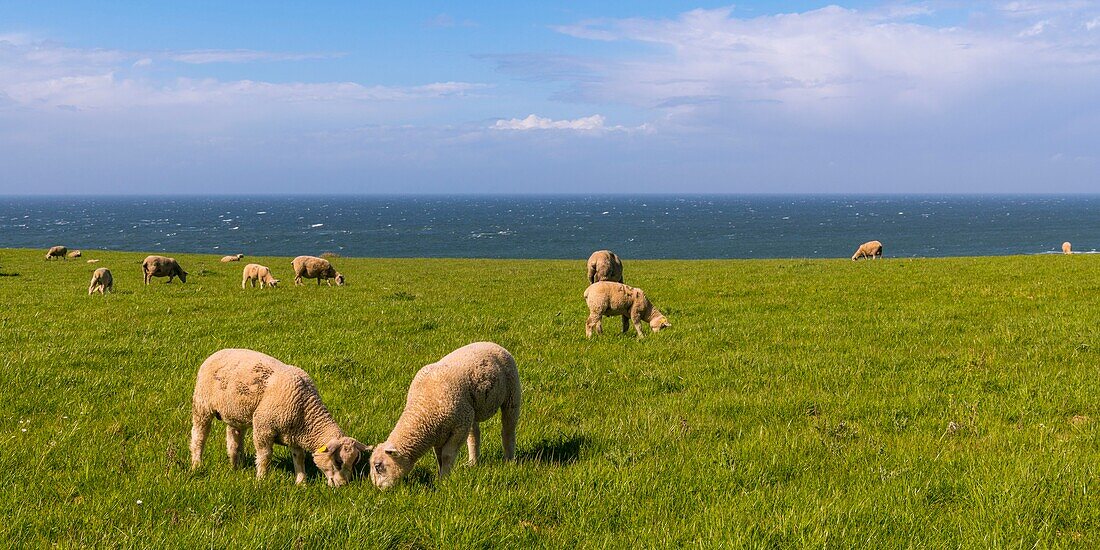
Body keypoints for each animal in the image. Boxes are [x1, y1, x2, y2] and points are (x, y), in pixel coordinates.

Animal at [189, 347, 369, 486]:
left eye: (354, 462)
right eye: (338, 462)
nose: (343, 485)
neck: (305, 412)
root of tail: (217, 352)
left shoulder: (294, 434)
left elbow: (299, 458)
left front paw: (301, 483)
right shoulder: (264, 428)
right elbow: (265, 456)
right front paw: (262, 479)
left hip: (235, 412)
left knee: (234, 440)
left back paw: (235, 467)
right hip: (202, 405)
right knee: (199, 437)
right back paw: (197, 464)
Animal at [369, 338, 519, 490]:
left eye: (378, 466)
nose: (378, 489)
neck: (422, 408)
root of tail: (490, 343)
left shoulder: (458, 428)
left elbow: (447, 455)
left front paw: (444, 480)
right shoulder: (440, 433)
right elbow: (439, 456)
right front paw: (441, 474)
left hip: (512, 393)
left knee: (508, 430)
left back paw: (509, 460)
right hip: (471, 411)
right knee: (474, 436)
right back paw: (473, 462)